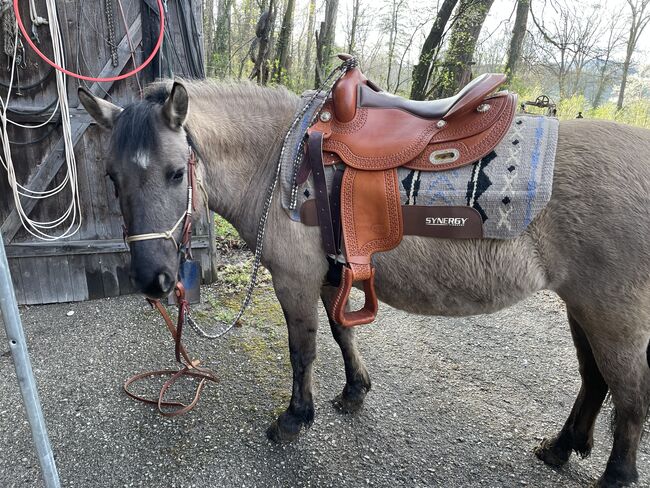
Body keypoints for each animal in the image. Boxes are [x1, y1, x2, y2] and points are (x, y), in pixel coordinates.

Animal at [78, 78, 648, 486]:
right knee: (595, 381)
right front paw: (354, 391)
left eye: (177, 173)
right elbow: (342, 332)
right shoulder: (334, 273)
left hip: (613, 317)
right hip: (581, 307)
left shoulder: (296, 280)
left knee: (629, 394)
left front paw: (294, 419)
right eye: (112, 177)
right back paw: (560, 448)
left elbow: (304, 350)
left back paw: (616, 476)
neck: (278, 160)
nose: (153, 280)